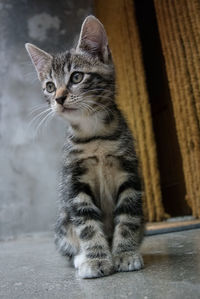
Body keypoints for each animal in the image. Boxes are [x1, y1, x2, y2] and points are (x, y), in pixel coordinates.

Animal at [25, 15, 144, 280]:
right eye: (50, 86)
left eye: (77, 77)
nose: (59, 98)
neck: (94, 135)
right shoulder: (74, 182)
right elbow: (87, 224)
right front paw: (97, 259)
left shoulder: (129, 174)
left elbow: (128, 217)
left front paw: (125, 254)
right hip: (62, 220)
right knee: (69, 244)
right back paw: (81, 258)